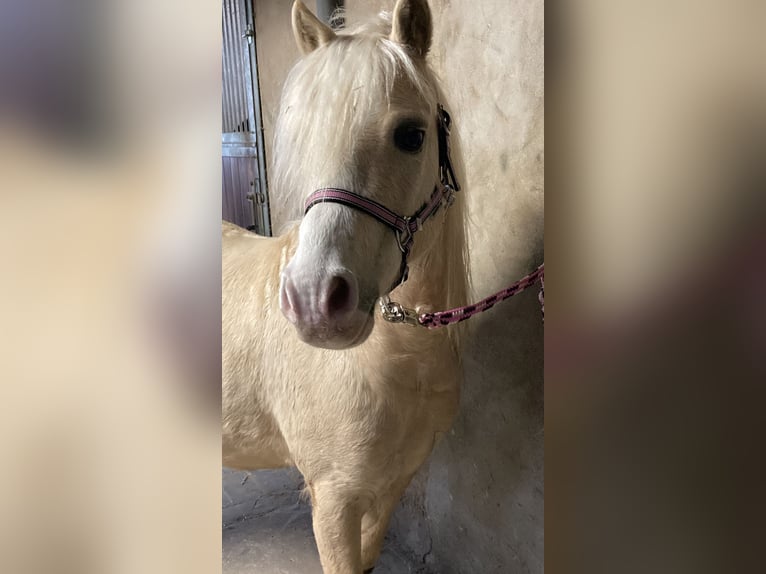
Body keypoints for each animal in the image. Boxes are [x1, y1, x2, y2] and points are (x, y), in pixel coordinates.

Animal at [222, 2, 472, 572]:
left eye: (412, 135)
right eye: (301, 136)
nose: (314, 303)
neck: (397, 356)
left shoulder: (390, 487)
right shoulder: (334, 499)